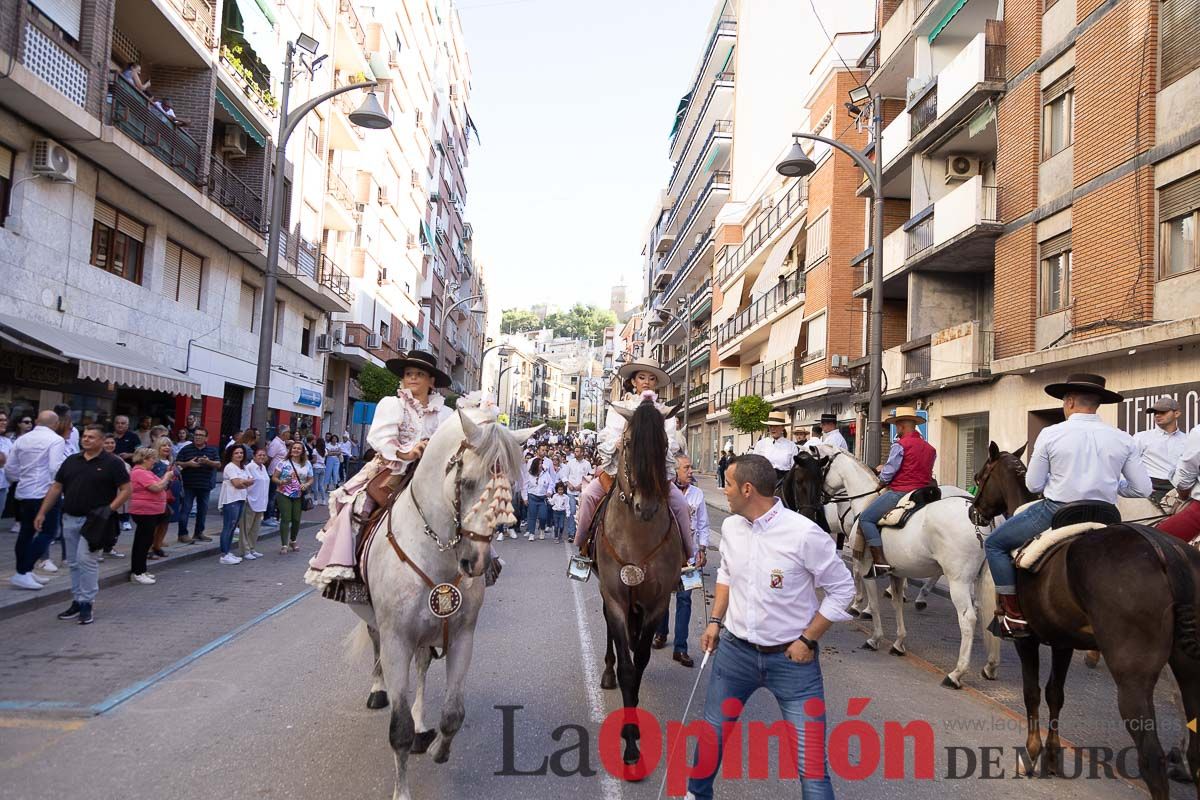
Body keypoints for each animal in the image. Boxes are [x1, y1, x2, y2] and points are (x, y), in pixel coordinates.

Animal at [348, 407, 535, 800]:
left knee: (421, 667)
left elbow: (453, 714)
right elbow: (398, 730)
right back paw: (377, 690)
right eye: (468, 482)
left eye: (509, 488)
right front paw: (402, 791)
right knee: (375, 645)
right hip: (378, 623)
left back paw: (423, 727)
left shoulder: (462, 636)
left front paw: (437, 748)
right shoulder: (397, 640)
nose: (476, 562)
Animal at [806, 441, 1003, 690]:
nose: (817, 503)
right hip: (979, 578)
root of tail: (977, 515)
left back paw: (956, 673)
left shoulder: (866, 567)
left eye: (819, 469)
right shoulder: (897, 572)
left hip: (958, 580)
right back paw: (990, 666)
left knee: (968, 618)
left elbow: (874, 602)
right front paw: (898, 643)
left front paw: (874, 635)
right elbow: (897, 604)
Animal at [969, 441, 1200, 796]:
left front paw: (1031, 755)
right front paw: (1052, 757)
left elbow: (1031, 691)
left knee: (1151, 757)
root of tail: (1165, 552)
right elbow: (1055, 693)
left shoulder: (1028, 640)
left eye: (982, 476)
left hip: (1133, 677)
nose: (975, 511)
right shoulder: (1062, 642)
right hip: (1188, 668)